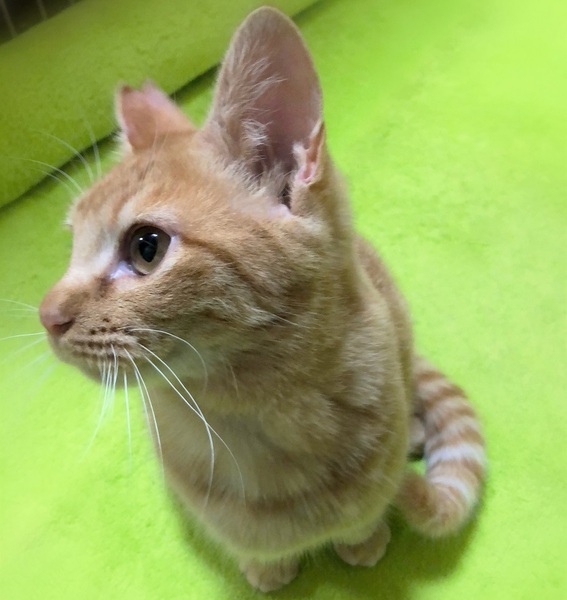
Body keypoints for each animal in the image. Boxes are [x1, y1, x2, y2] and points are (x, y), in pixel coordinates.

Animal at [38, 7, 485, 593]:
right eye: (72, 241)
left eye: (146, 247)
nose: (47, 316)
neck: (260, 418)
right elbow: (253, 544)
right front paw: (268, 567)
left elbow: (363, 514)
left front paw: (364, 540)